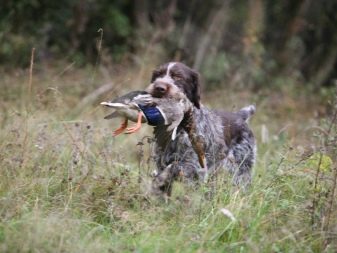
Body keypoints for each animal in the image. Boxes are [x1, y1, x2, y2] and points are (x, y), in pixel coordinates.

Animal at [145, 61, 255, 196]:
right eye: (158, 75)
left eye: (178, 77)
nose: (159, 87)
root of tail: (240, 116)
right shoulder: (161, 162)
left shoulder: (194, 168)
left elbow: (173, 168)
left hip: (241, 171)